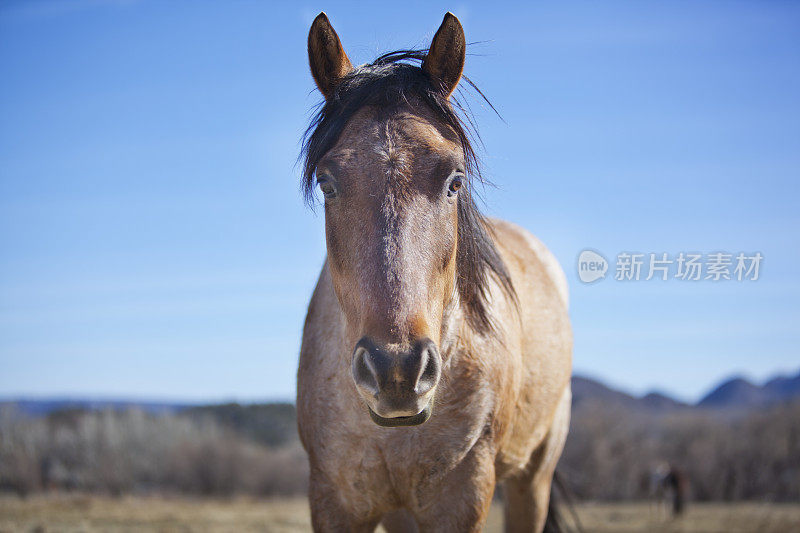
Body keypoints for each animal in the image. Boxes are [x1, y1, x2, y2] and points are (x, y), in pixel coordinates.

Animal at [296, 12, 572, 532]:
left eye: (454, 180)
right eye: (327, 182)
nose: (397, 371)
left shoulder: (461, 498)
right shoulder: (335, 499)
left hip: (533, 478)